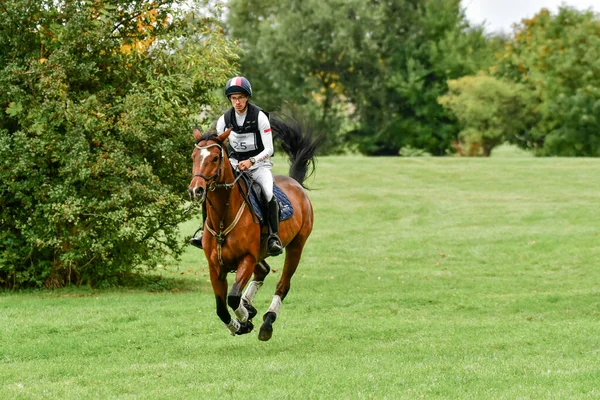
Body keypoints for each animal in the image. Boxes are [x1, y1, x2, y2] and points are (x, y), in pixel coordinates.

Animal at [188, 115, 318, 340]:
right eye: (194, 156)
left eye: (215, 158)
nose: (196, 190)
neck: (223, 218)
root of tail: (295, 183)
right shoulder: (215, 267)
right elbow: (221, 308)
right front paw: (239, 324)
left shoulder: (247, 259)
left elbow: (232, 298)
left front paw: (244, 320)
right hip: (260, 252)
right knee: (263, 271)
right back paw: (249, 306)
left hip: (296, 246)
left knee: (283, 284)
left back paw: (267, 322)